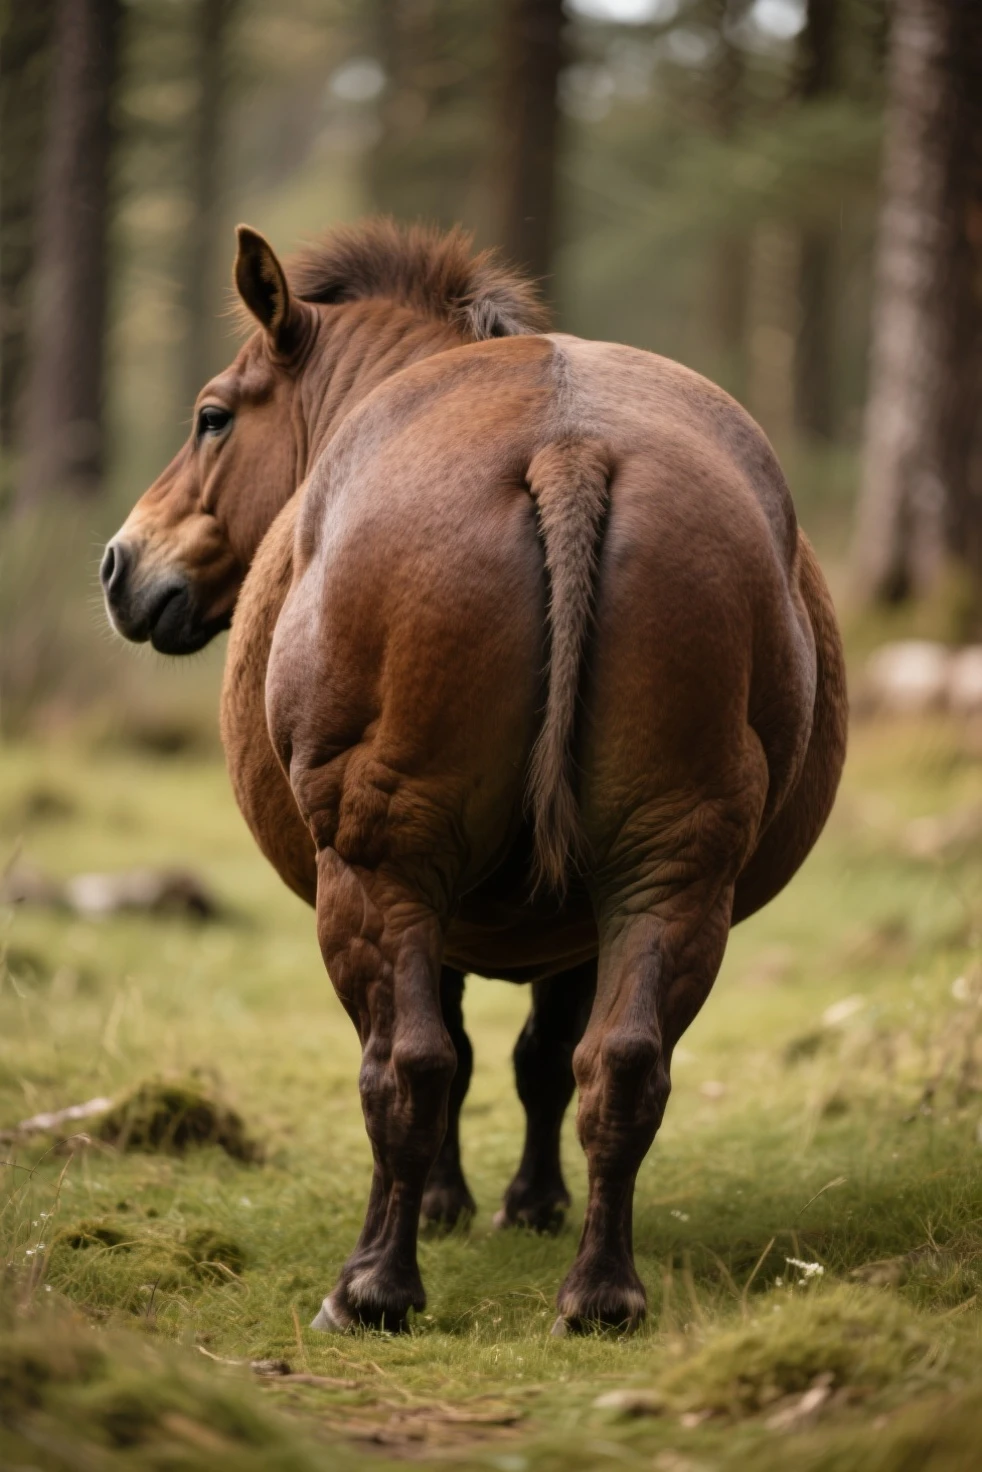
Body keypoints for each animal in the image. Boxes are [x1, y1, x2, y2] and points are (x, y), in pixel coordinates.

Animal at [102, 219, 847, 1335]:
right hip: (669, 864)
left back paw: (372, 1285)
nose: (119, 563)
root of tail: (565, 447)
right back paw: (600, 1292)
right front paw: (529, 1203)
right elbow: (545, 1057)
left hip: (383, 869)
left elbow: (444, 1051)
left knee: (406, 1065)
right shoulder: (579, 915)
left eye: (212, 417)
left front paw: (450, 1207)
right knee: (622, 1063)